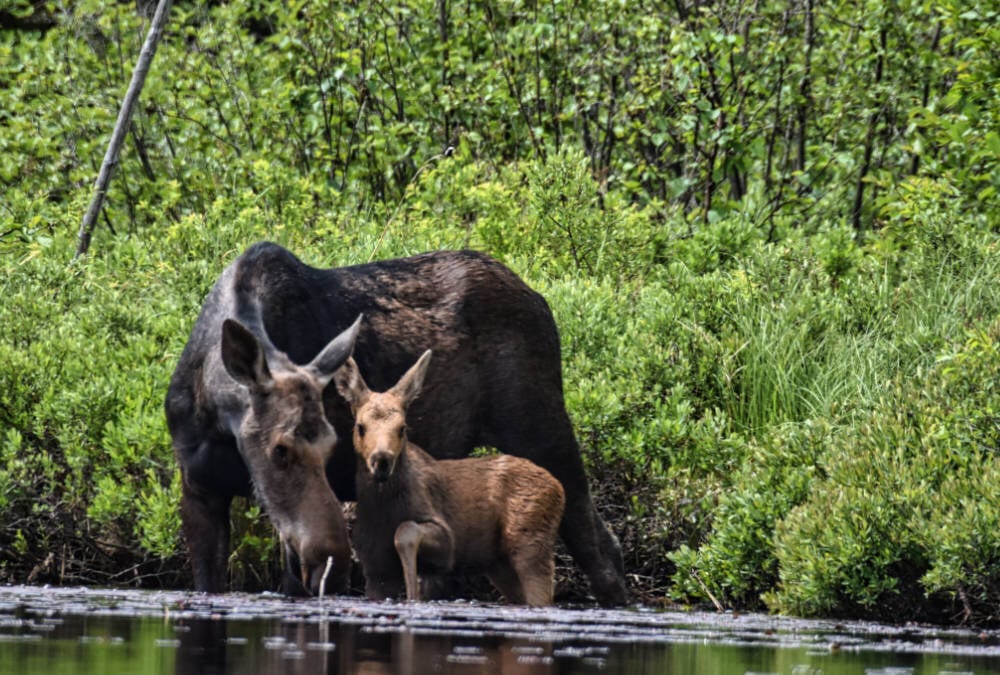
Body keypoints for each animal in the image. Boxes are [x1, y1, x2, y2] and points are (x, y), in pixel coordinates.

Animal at [334, 350, 566, 606]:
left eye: (402, 427)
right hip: (500, 565)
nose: (382, 460)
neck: (384, 509)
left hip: (530, 544)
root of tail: (558, 487)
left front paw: (413, 595)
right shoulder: (375, 568)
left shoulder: (447, 545)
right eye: (360, 426)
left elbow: (405, 530)